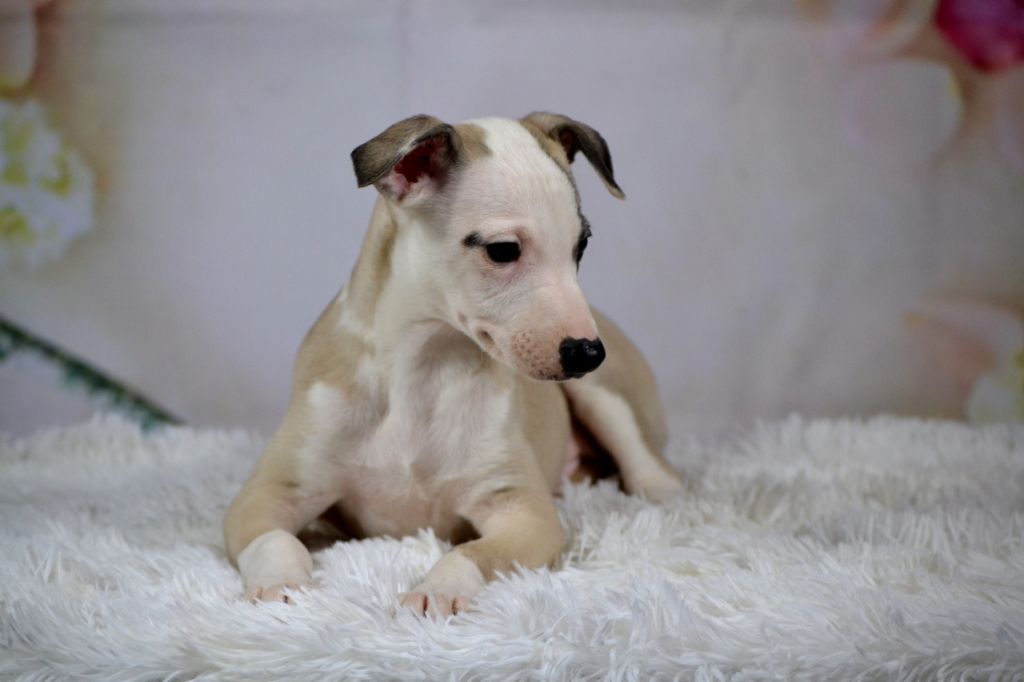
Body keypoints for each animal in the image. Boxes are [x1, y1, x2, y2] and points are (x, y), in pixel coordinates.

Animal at [224, 112, 684, 616]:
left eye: (580, 247)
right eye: (503, 250)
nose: (588, 352)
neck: (421, 369)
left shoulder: (522, 510)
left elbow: (470, 552)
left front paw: (437, 589)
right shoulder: (272, 490)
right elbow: (275, 539)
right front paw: (281, 585)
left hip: (606, 397)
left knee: (647, 463)